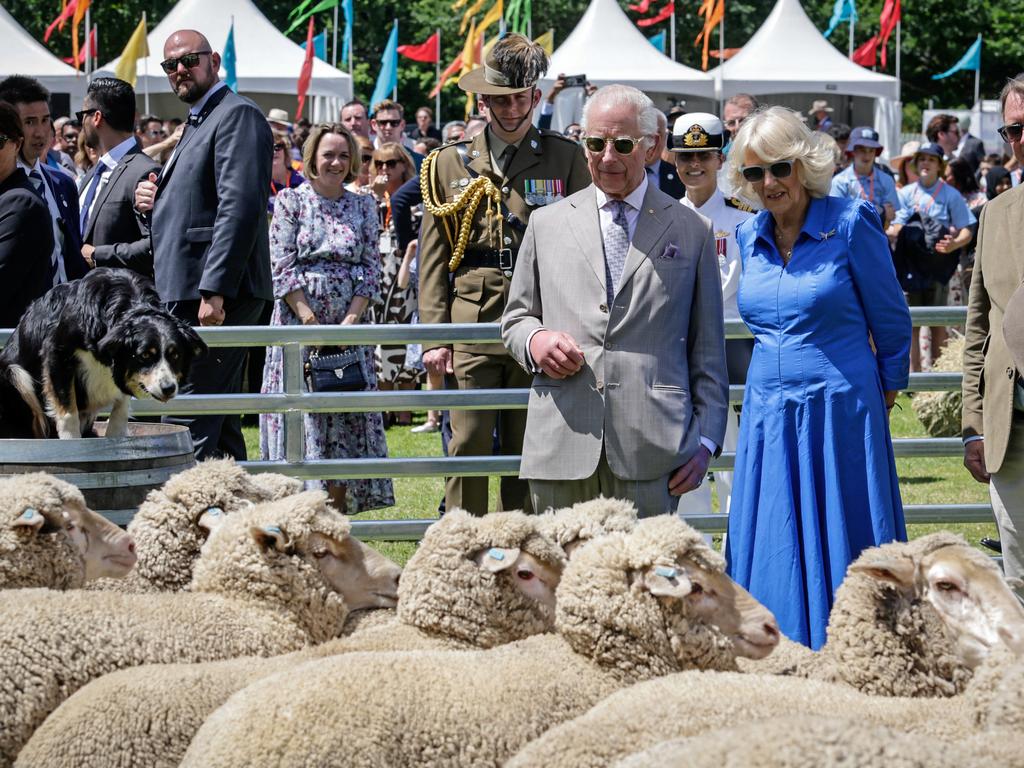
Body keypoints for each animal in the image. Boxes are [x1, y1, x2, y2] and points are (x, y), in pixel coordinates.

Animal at [0, 270, 207, 438]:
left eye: (175, 355)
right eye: (145, 356)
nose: (168, 388)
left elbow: (121, 408)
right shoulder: (57, 352)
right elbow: (68, 411)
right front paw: (71, 442)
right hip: (14, 373)